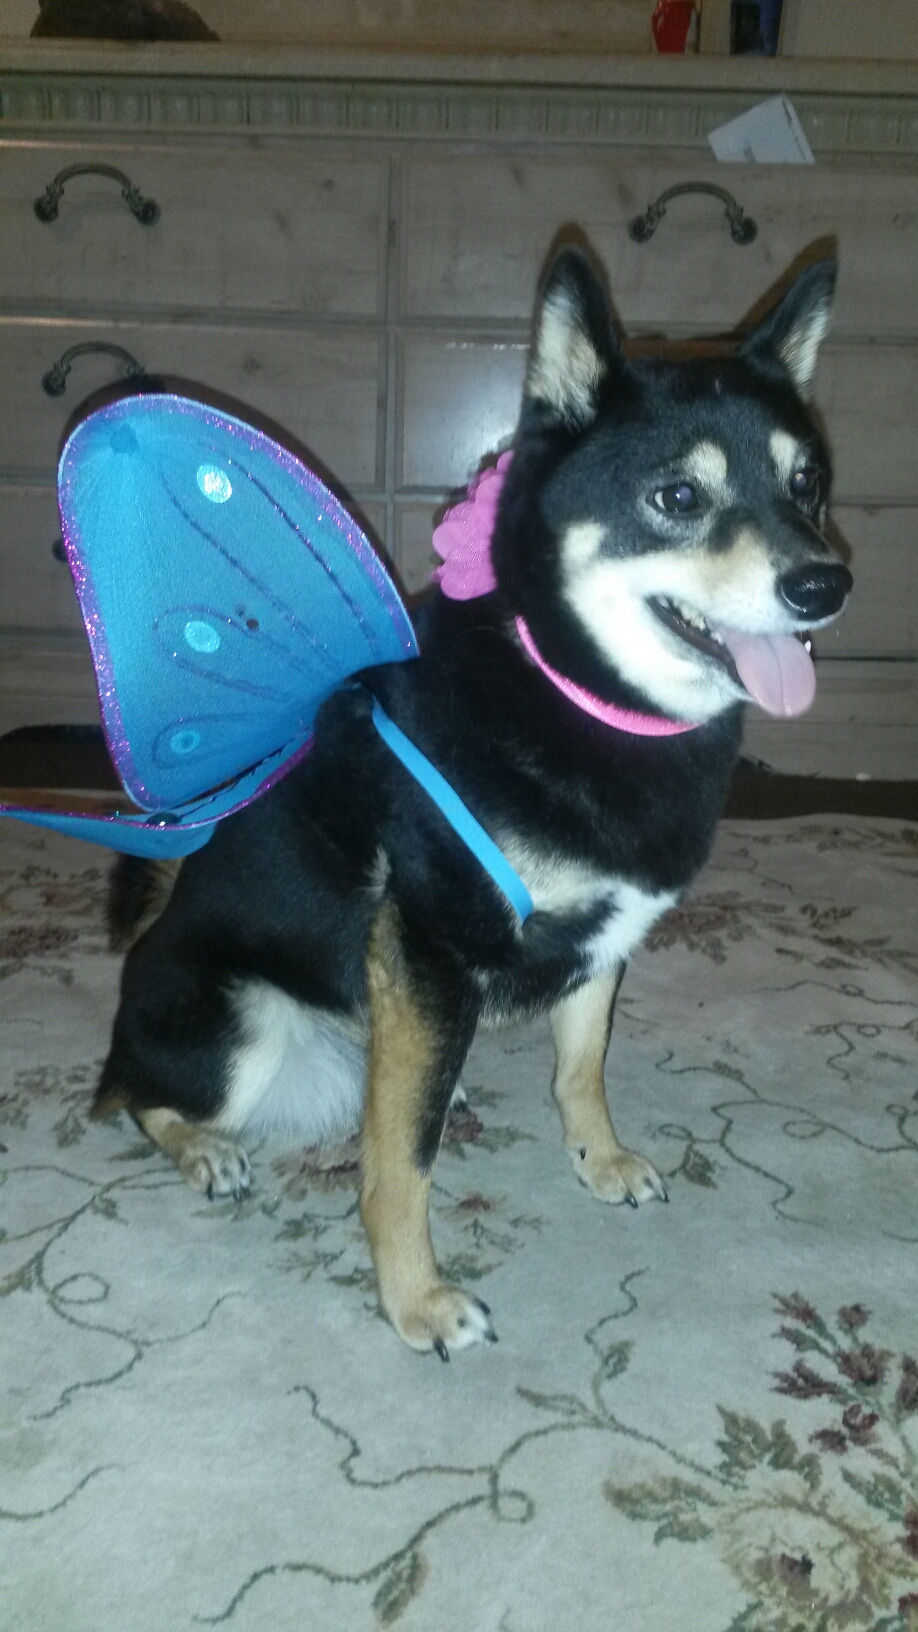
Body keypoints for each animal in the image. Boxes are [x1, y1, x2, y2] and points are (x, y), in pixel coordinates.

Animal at [92, 246, 851, 1357]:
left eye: (809, 484)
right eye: (677, 495)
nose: (824, 586)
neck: (580, 692)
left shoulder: (603, 936)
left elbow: (581, 1066)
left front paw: (599, 1159)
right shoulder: (430, 951)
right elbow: (402, 1159)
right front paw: (417, 1302)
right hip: (246, 1027)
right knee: (129, 1095)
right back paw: (201, 1150)